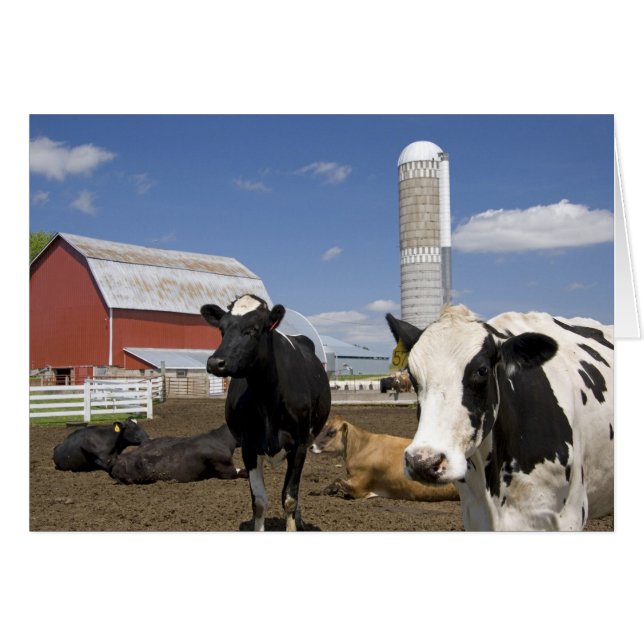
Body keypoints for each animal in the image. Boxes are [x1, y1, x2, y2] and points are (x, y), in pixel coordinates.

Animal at [201, 294, 331, 531]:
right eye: (222, 329)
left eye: (254, 329)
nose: (216, 362)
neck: (267, 398)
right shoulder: (249, 447)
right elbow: (260, 501)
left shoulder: (299, 445)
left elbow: (289, 498)